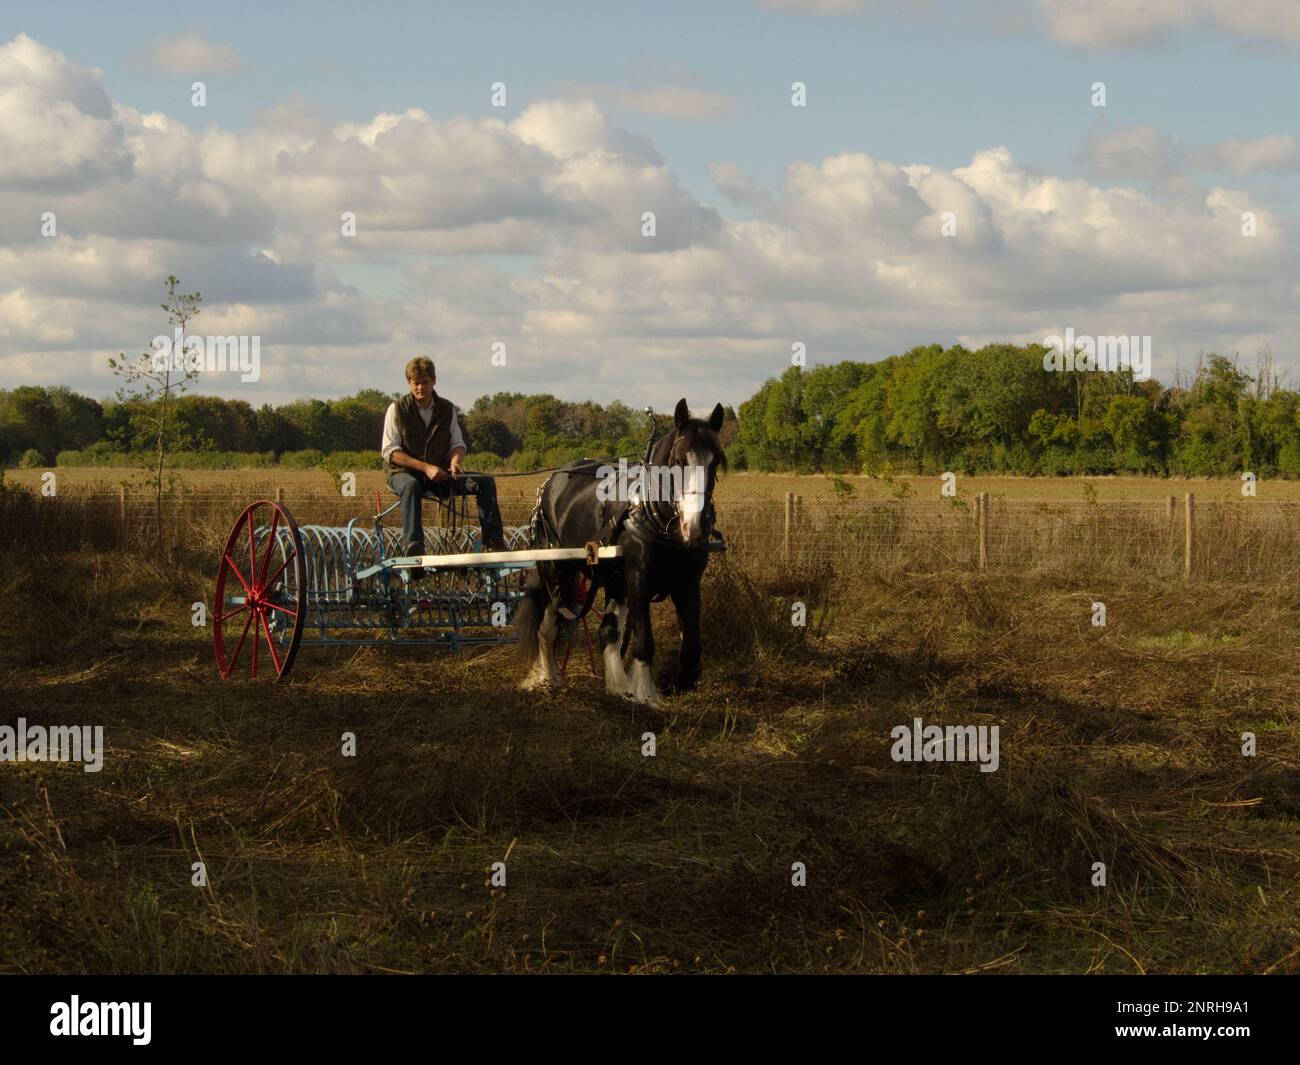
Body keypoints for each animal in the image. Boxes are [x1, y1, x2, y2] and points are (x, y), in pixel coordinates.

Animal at [512, 400, 728, 707]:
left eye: (715, 461)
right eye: (677, 462)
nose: (695, 527)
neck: (656, 517)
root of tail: (553, 480)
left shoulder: (687, 585)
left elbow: (692, 648)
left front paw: (674, 682)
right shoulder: (637, 580)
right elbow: (644, 642)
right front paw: (646, 693)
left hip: (613, 581)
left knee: (608, 631)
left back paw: (616, 685)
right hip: (557, 570)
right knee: (548, 627)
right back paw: (548, 678)